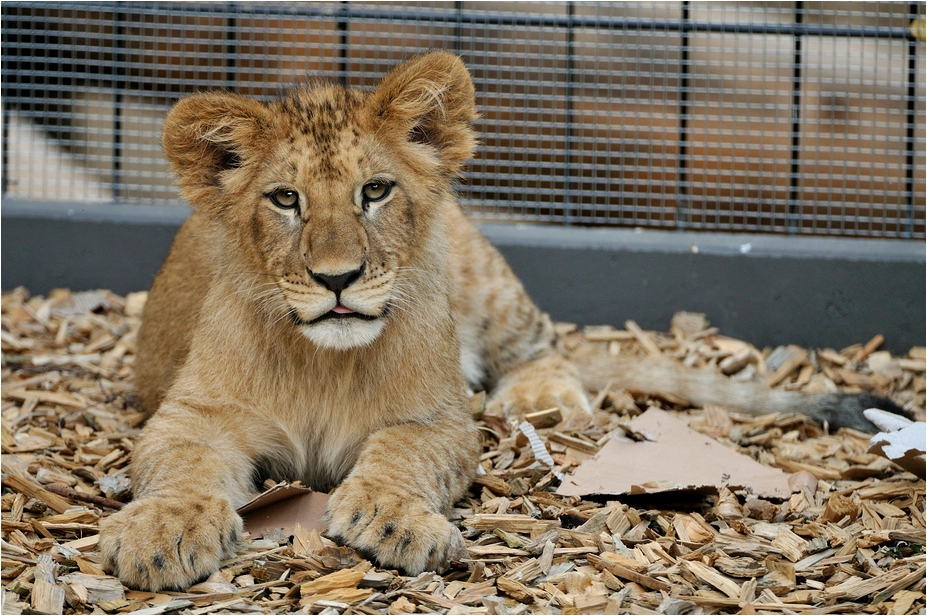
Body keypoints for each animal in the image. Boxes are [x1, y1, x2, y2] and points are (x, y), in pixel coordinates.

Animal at [99, 51, 908, 592]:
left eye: (375, 191)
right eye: (285, 199)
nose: (337, 279)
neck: (322, 359)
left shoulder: (439, 420)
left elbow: (400, 455)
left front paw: (394, 518)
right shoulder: (190, 416)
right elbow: (179, 467)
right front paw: (162, 532)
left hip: (481, 277)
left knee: (545, 348)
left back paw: (538, 400)